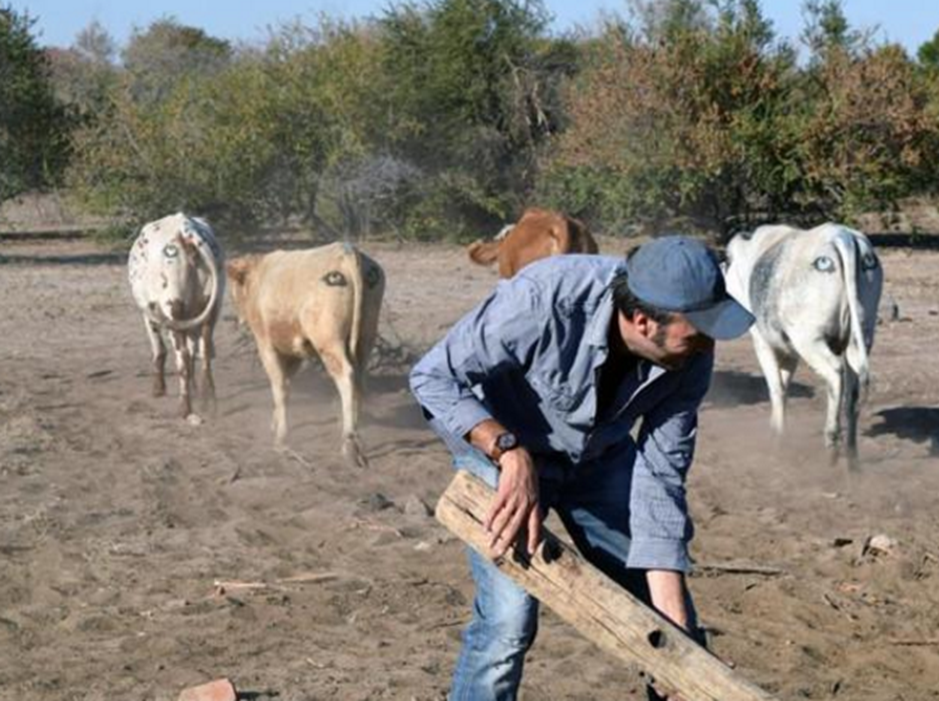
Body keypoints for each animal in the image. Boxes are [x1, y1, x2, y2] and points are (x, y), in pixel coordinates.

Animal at [127, 211, 225, 418]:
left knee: (183, 356)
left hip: (172, 309)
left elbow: (159, 350)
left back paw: (185, 407)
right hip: (211, 309)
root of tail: (187, 231)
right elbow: (195, 350)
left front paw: (158, 389)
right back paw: (209, 402)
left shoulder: (150, 314)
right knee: (204, 352)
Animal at [226, 243, 384, 468]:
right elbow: (287, 382)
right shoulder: (294, 353)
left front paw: (280, 438)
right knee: (360, 379)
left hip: (328, 341)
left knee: (346, 376)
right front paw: (275, 422)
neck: (260, 273)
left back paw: (349, 442)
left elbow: (280, 387)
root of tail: (346, 251)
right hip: (366, 337)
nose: (238, 318)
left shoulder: (266, 345)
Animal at [728, 221, 880, 468]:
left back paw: (831, 443)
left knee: (835, 374)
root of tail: (841, 235)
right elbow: (784, 386)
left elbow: (776, 388)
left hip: (809, 339)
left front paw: (777, 440)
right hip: (861, 337)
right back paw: (851, 457)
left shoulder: (762, 341)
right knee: (853, 392)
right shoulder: (789, 351)